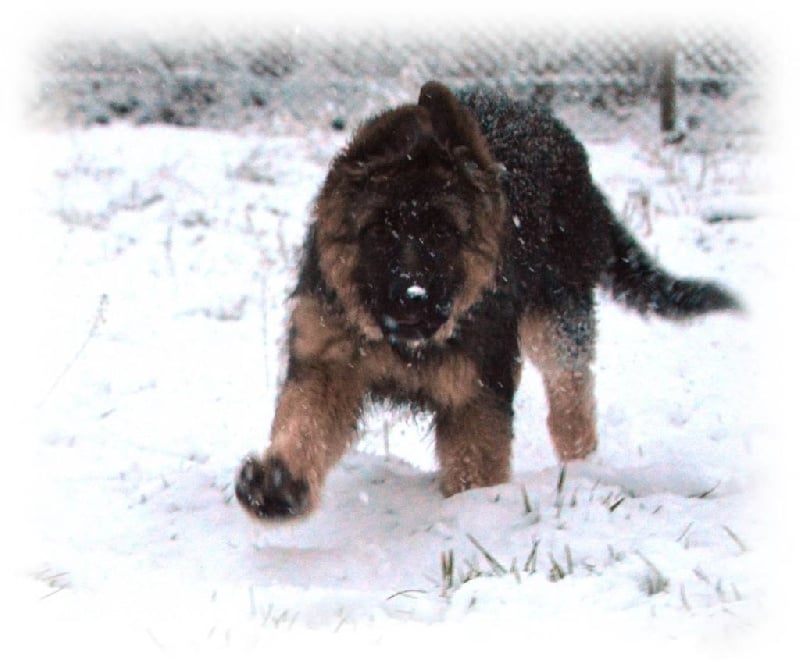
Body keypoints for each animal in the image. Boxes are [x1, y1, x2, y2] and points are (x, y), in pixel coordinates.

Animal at [234, 81, 740, 520]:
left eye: (442, 234)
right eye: (379, 232)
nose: (411, 301)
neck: (405, 345)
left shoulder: (477, 390)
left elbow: (476, 464)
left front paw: (472, 514)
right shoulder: (328, 359)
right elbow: (306, 421)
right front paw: (278, 486)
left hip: (557, 319)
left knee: (572, 398)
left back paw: (580, 469)